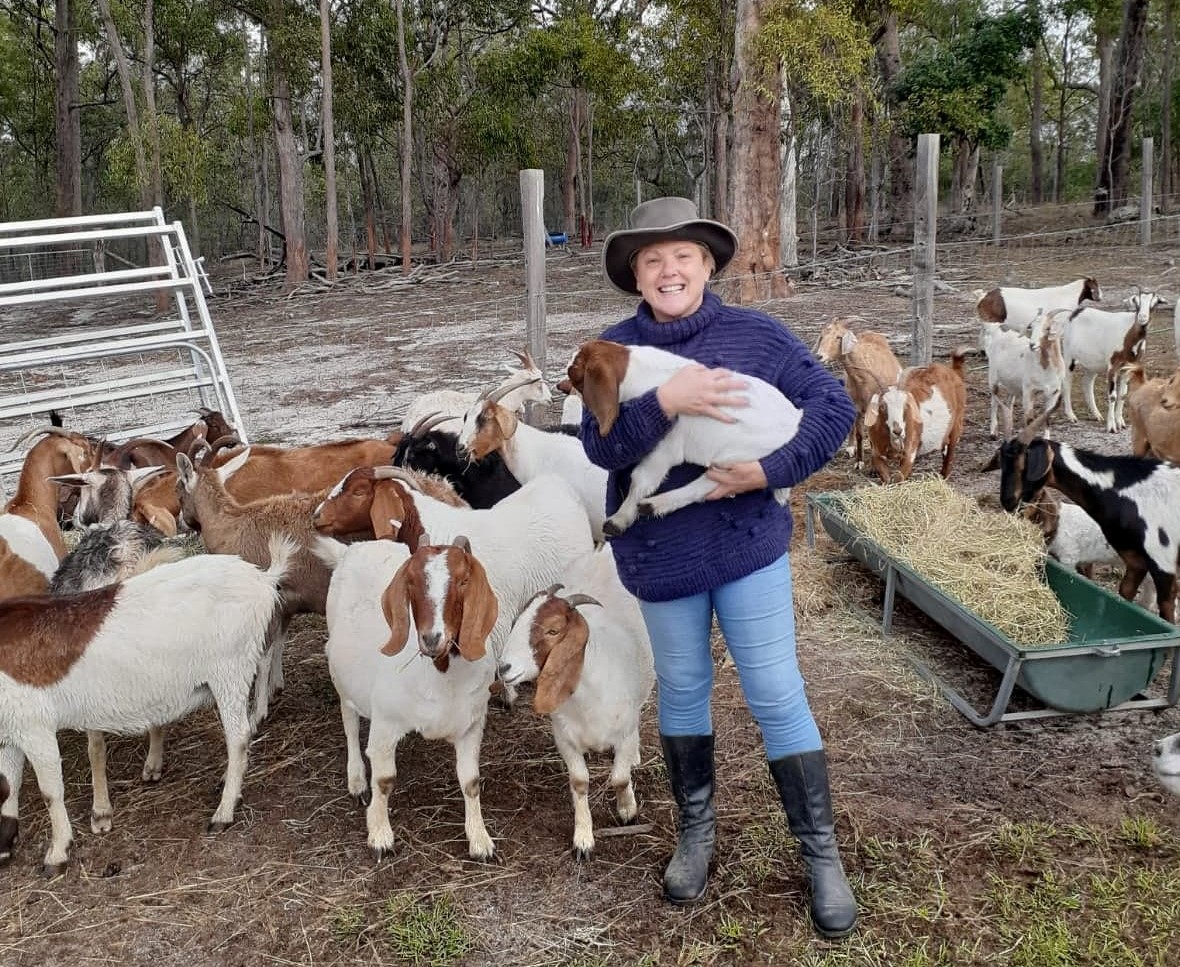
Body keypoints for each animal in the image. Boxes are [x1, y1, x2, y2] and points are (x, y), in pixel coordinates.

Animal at [0, 536, 292, 878]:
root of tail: (262, 578)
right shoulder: (9, 731)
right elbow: (9, 783)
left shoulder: (34, 725)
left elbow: (50, 792)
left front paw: (57, 853)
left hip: (230, 670)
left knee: (239, 737)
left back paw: (224, 811)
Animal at [493, 547, 651, 859]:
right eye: (516, 623)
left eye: (553, 631)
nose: (504, 667)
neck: (589, 695)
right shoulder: (565, 738)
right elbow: (579, 782)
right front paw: (583, 839)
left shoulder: (624, 733)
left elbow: (620, 778)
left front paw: (627, 811)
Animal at [564, 340, 802, 536]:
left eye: (575, 369)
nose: (564, 380)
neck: (638, 372)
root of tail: (796, 420)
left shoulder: (666, 448)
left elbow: (641, 479)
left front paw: (619, 519)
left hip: (736, 458)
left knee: (707, 484)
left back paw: (653, 505)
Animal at [859, 347, 967, 484]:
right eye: (882, 406)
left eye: (906, 405)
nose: (898, 431)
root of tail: (953, 372)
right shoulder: (877, 453)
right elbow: (887, 479)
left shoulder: (909, 453)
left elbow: (898, 478)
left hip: (957, 424)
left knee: (949, 454)